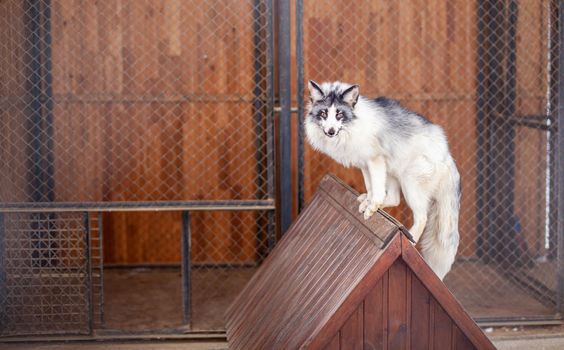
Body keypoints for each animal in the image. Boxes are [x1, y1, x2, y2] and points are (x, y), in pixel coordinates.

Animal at [306, 80, 460, 280]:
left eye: (339, 114)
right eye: (323, 113)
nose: (331, 131)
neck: (354, 126)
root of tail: (447, 157)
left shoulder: (375, 159)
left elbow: (377, 190)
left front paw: (371, 207)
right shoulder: (365, 163)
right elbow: (371, 187)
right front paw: (369, 203)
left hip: (409, 181)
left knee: (422, 217)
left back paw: (410, 240)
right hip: (393, 173)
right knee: (394, 199)